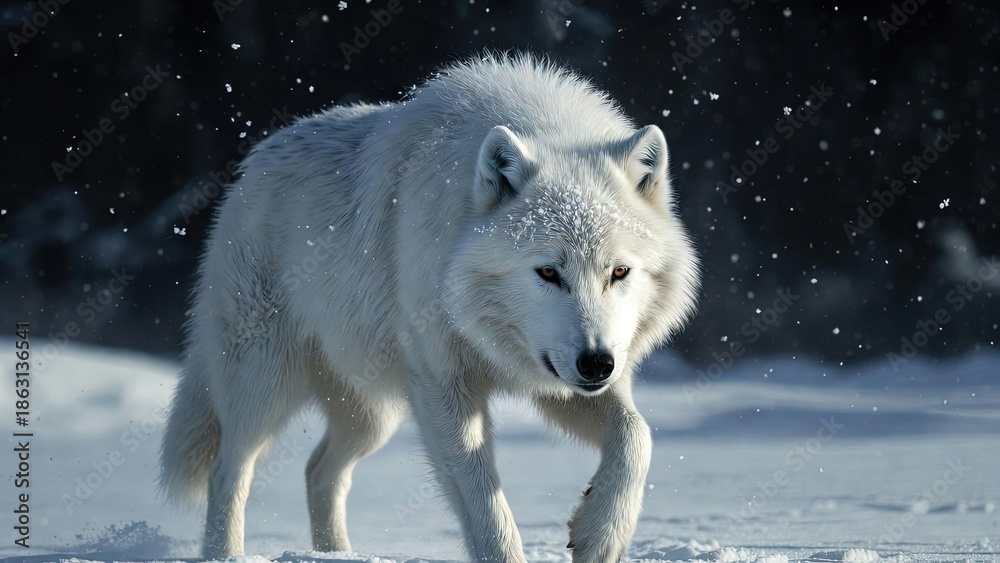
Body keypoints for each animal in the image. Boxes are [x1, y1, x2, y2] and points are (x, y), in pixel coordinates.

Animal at [160, 53, 700, 563]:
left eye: (619, 272)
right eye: (548, 272)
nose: (597, 363)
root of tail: (251, 166)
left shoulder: (557, 383)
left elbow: (636, 436)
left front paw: (600, 535)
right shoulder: (443, 386)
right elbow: (484, 504)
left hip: (371, 414)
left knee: (318, 470)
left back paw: (337, 555)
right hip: (264, 383)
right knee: (229, 469)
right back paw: (228, 554)